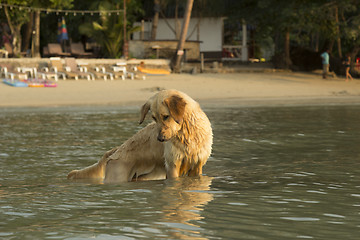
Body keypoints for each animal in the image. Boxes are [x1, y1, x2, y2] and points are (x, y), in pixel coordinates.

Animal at [67, 89, 212, 182]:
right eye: (154, 118)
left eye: (166, 116)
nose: (160, 139)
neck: (187, 133)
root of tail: (114, 152)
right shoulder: (173, 165)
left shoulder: (197, 165)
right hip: (118, 176)